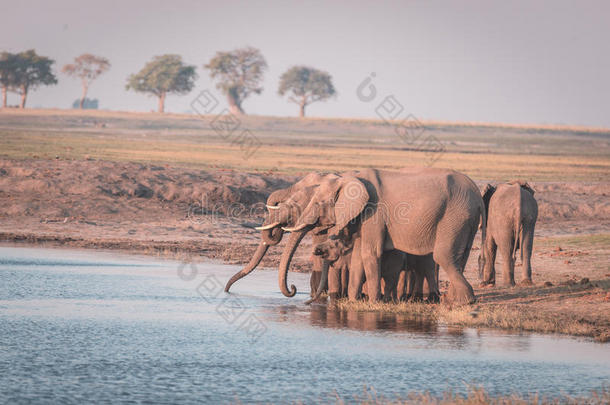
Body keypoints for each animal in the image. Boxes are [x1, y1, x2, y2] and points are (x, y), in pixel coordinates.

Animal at [280, 166, 484, 304]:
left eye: (318, 203)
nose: (293, 289)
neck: (349, 179)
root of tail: (478, 195)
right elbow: (359, 256)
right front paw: (354, 301)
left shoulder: (374, 212)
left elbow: (370, 253)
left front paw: (373, 302)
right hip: (465, 218)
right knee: (460, 256)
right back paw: (453, 300)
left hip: (455, 214)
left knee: (443, 256)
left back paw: (463, 301)